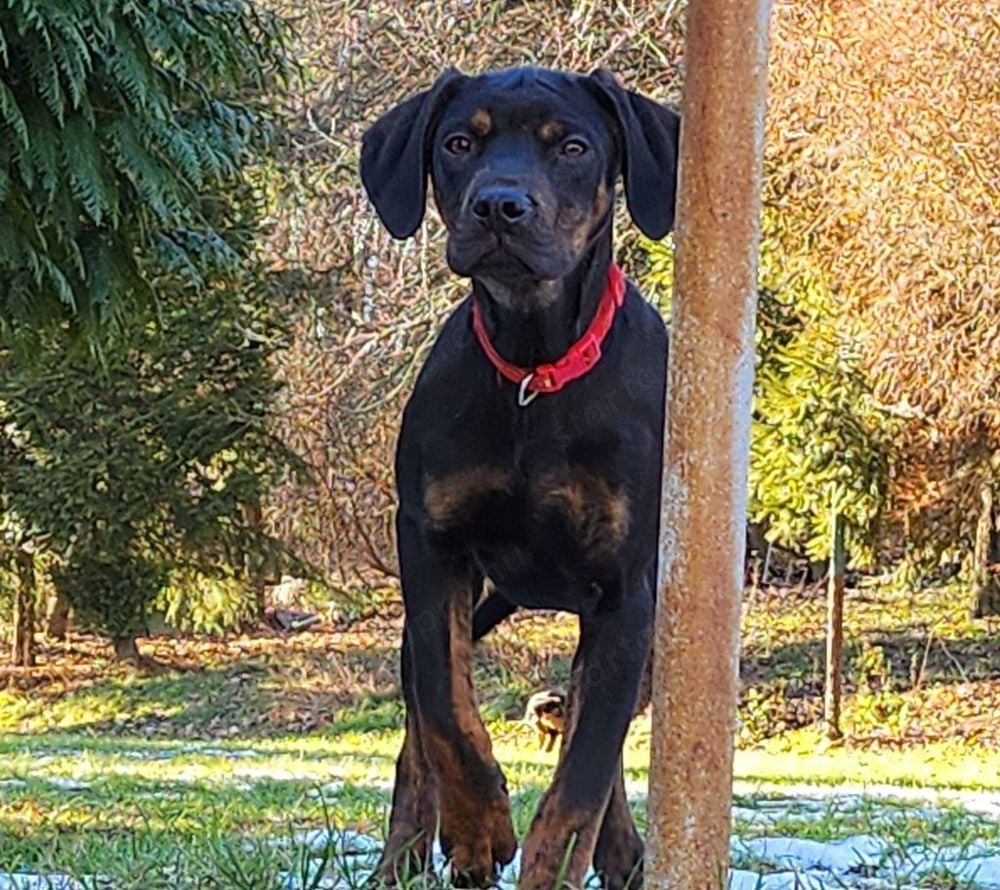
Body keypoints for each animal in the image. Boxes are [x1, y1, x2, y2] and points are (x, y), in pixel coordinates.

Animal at [360, 66, 680, 884]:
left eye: (572, 146)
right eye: (458, 143)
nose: (501, 205)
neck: (535, 370)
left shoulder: (625, 591)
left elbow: (582, 779)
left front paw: (551, 864)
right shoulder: (431, 545)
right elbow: (447, 715)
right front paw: (478, 834)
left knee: (597, 734)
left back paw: (624, 852)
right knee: (419, 735)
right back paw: (403, 859)